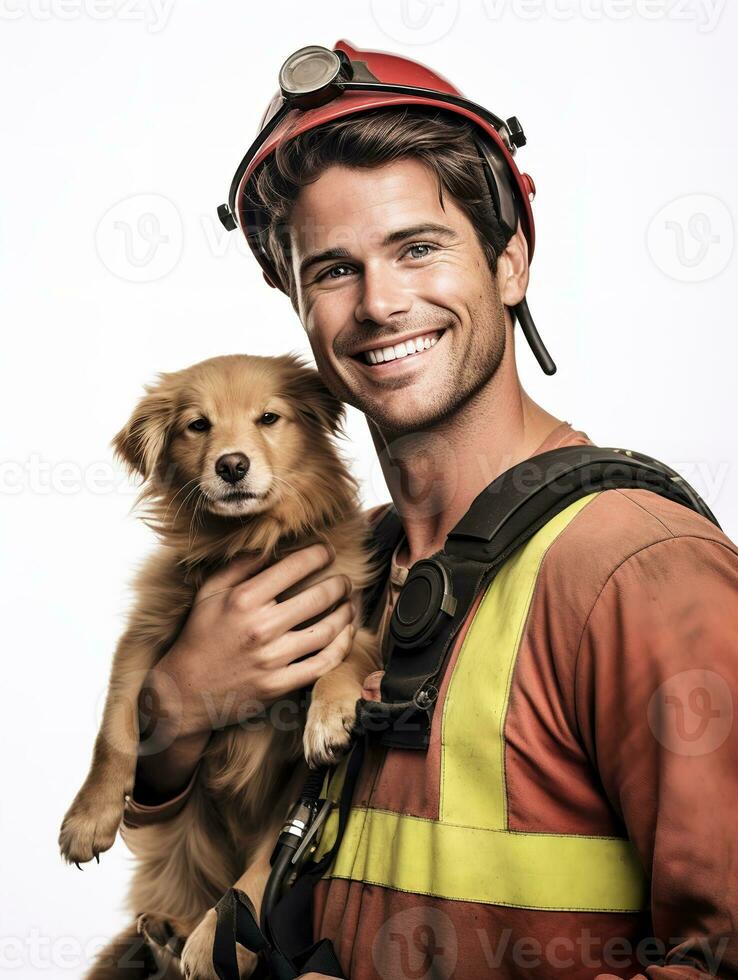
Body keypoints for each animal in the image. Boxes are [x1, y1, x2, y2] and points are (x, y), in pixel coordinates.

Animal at [57, 354, 380, 980]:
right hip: (186, 838)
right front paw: (89, 817)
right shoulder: (145, 639)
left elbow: (342, 662)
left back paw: (209, 940)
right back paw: (170, 933)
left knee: (262, 866)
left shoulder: (345, 620)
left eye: (268, 418)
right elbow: (114, 731)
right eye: (198, 426)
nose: (232, 465)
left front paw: (329, 716)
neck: (249, 541)